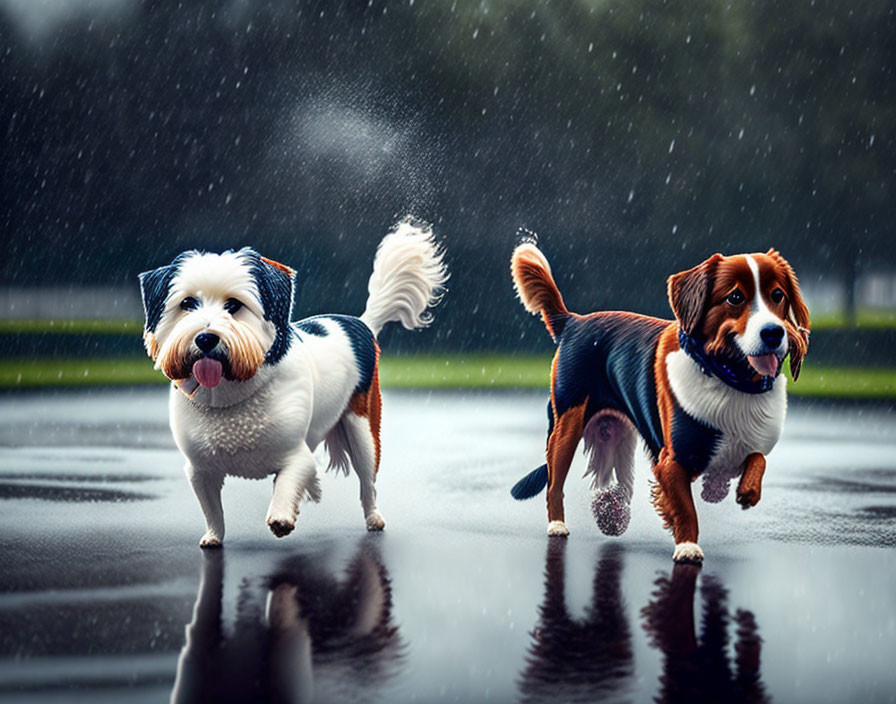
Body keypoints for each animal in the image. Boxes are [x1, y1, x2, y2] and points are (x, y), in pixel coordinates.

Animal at [139, 220, 448, 544]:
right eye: (187, 303)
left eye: (233, 305)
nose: (205, 338)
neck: (230, 393)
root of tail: (362, 323)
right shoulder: (199, 469)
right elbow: (212, 509)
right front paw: (213, 536)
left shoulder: (296, 454)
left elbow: (288, 480)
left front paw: (281, 517)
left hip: (363, 428)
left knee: (368, 483)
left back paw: (374, 518)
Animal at [512, 236, 812, 560]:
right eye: (735, 298)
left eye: (778, 295)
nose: (774, 333)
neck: (730, 377)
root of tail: (573, 321)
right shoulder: (671, 460)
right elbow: (685, 508)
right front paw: (688, 546)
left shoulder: (745, 442)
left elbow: (758, 459)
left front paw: (739, 490)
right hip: (567, 423)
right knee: (554, 483)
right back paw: (558, 524)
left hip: (616, 432)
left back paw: (612, 512)